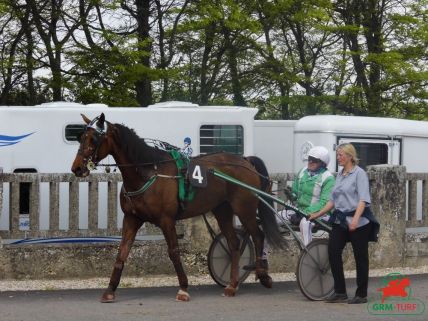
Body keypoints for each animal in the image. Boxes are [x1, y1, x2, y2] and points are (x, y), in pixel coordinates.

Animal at [70, 113, 284, 302]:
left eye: (94, 138)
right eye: (81, 137)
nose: (77, 168)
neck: (148, 172)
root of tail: (245, 160)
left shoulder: (167, 220)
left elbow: (173, 252)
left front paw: (183, 288)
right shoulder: (132, 218)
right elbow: (122, 252)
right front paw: (109, 290)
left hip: (244, 208)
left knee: (258, 236)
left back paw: (263, 275)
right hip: (222, 210)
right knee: (234, 243)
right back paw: (232, 285)